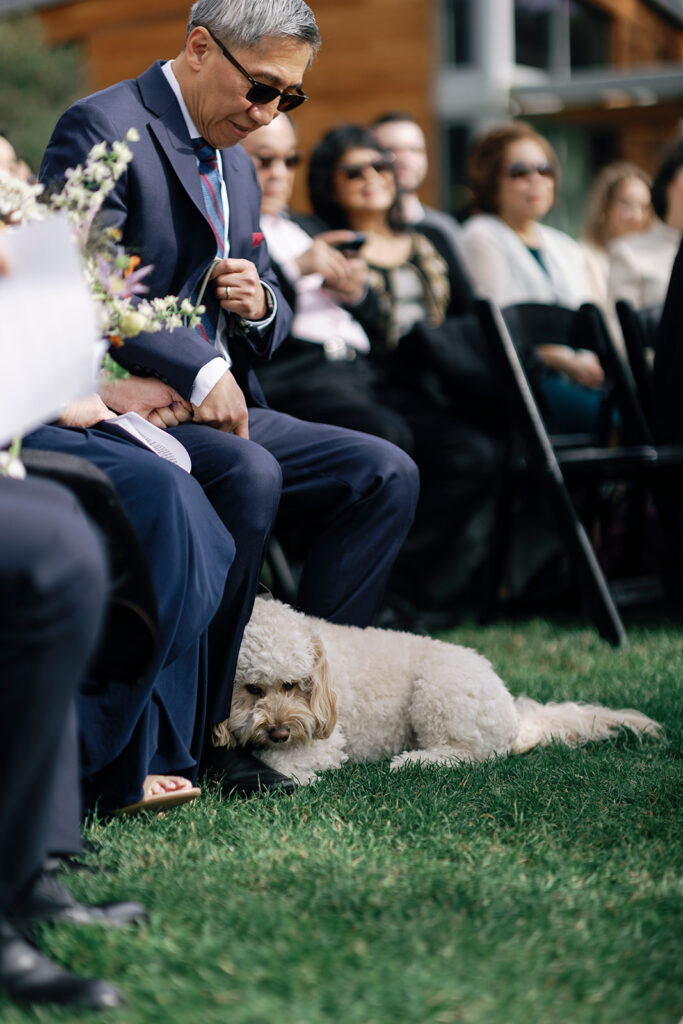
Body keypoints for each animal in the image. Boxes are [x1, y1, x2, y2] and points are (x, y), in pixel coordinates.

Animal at [215, 598, 663, 778]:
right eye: (252, 688)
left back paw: (414, 762)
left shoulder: (325, 739)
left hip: (436, 694)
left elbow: (281, 759)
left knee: (470, 756)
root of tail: (512, 714)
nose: (280, 731)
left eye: (292, 684)